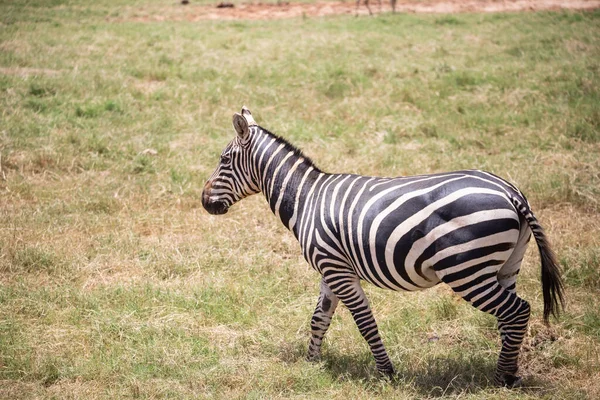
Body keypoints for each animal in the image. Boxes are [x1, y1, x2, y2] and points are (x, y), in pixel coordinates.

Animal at [202, 107, 564, 388]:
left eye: (223, 159)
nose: (204, 202)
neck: (306, 198)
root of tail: (510, 192)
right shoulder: (331, 268)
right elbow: (319, 317)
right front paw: (312, 364)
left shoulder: (337, 270)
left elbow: (364, 322)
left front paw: (386, 373)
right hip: (506, 266)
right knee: (510, 317)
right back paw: (509, 371)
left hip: (467, 270)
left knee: (517, 311)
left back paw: (502, 377)